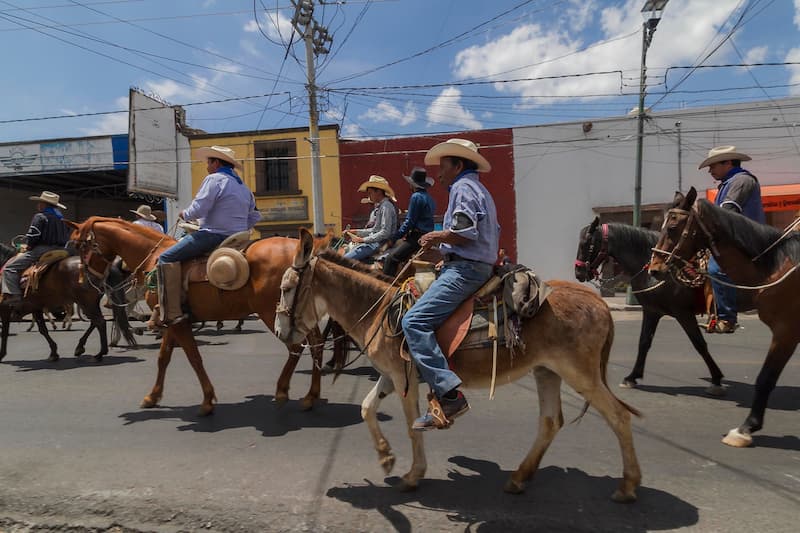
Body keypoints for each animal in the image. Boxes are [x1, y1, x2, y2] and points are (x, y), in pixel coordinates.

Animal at [69, 216, 328, 416]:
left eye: (81, 245)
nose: (84, 281)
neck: (154, 257)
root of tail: (301, 253)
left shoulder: (177, 322)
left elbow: (194, 358)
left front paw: (207, 401)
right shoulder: (173, 319)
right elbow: (163, 358)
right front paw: (153, 396)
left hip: (272, 313)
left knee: (296, 346)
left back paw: (283, 391)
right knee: (316, 343)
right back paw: (311, 396)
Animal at [276, 230, 644, 502]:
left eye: (287, 287)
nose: (281, 332)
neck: (380, 309)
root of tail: (596, 299)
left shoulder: (404, 379)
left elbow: (412, 426)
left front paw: (413, 475)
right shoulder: (393, 376)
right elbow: (367, 408)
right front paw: (385, 456)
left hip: (580, 374)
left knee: (619, 417)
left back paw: (628, 486)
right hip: (547, 371)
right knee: (551, 422)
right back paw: (519, 478)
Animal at [576, 216, 724, 394]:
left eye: (586, 243)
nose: (578, 272)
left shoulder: (683, 313)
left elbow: (699, 344)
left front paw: (716, 379)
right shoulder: (652, 311)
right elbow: (644, 342)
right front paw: (632, 377)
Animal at [648, 186, 792, 444]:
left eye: (672, 226)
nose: (654, 269)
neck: (775, 267)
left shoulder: (786, 328)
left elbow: (765, 377)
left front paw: (744, 428)